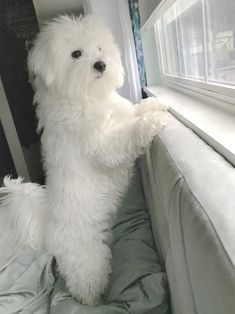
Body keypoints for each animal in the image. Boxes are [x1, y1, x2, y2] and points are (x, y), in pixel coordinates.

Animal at [0, 15, 169, 306]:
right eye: (76, 54)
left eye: (100, 49)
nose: (100, 64)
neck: (87, 96)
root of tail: (47, 229)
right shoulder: (104, 145)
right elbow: (129, 132)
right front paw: (152, 121)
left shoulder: (120, 113)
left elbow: (133, 110)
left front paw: (154, 105)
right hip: (87, 259)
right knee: (86, 282)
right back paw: (94, 302)